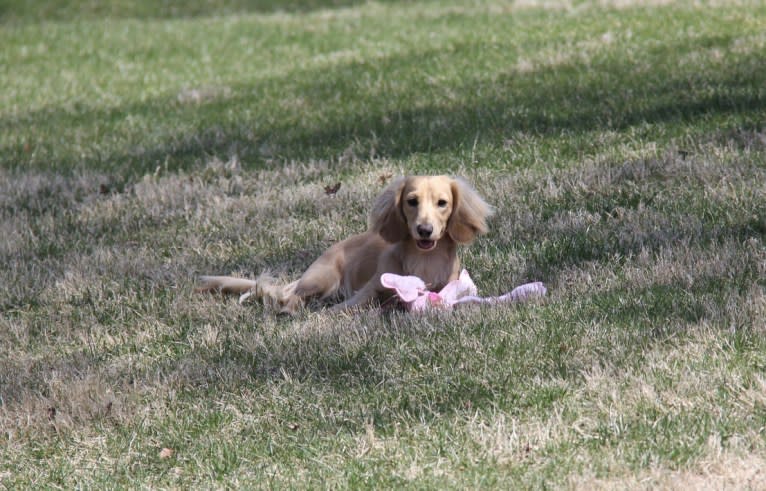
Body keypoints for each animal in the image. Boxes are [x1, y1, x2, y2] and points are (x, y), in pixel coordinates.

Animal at [198, 177, 496, 316]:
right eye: (412, 201)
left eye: (442, 203)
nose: (424, 230)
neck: (424, 260)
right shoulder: (370, 289)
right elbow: (353, 305)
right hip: (322, 278)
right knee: (292, 296)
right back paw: (289, 309)